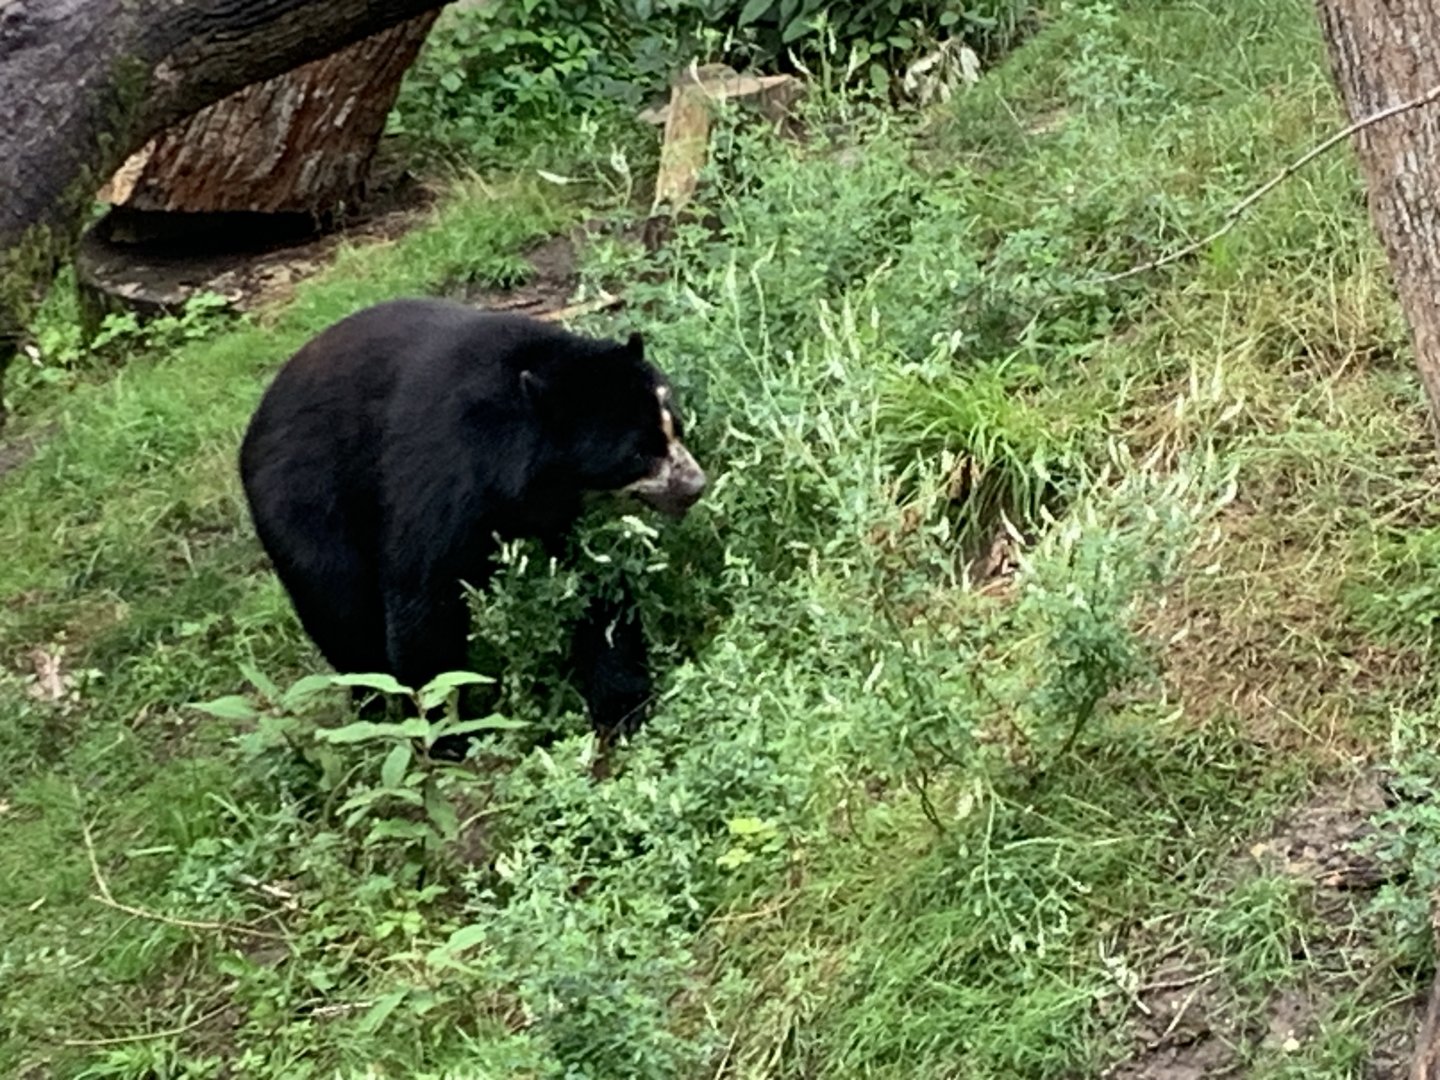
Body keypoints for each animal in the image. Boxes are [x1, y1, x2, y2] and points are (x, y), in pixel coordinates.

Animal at [238, 297, 706, 747]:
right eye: (638, 454)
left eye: (676, 427)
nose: (695, 485)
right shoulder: (444, 477)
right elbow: (424, 596)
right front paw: (445, 733)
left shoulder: (565, 512)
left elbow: (595, 583)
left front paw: (625, 708)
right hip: (305, 507)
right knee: (342, 613)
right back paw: (370, 705)